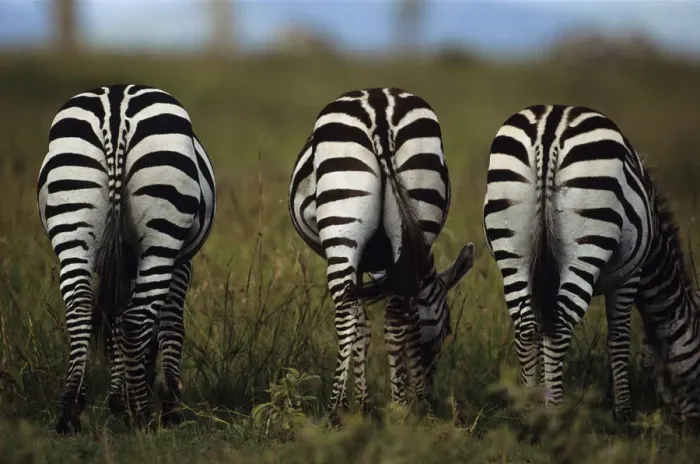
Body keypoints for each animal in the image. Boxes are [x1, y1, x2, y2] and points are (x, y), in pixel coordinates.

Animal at [37, 84, 216, 434]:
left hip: (72, 217)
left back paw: (69, 410)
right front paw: (168, 407)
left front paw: (118, 400)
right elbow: (170, 326)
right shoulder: (181, 263)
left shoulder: (121, 263)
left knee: (80, 306)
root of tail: (116, 106)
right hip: (162, 234)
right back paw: (143, 415)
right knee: (136, 319)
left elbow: (114, 322)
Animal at [289, 87, 474, 420]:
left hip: (342, 225)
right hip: (416, 207)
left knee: (345, 310)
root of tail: (379, 109)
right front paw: (379, 402)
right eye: (448, 329)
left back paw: (338, 410)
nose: (431, 397)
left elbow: (361, 325)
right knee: (392, 314)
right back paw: (397, 408)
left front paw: (360, 404)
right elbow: (377, 325)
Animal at [481, 104, 658, 422]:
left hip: (511, 246)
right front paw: (624, 411)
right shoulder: (630, 277)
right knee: (561, 326)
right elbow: (619, 339)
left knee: (527, 326)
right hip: (588, 242)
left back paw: (528, 413)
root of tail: (550, 128)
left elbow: (541, 331)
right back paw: (555, 413)